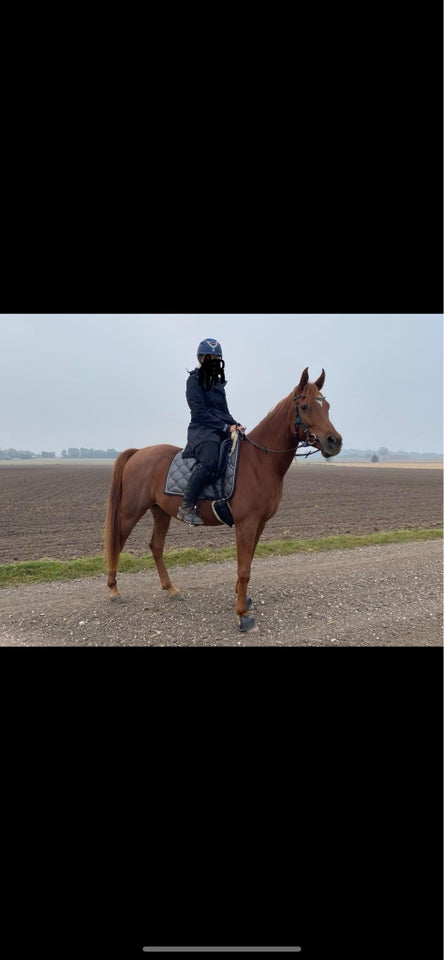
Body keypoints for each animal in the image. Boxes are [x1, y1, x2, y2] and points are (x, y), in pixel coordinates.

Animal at [105, 368, 344, 632]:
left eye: (327, 406)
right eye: (304, 406)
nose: (334, 441)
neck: (260, 461)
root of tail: (139, 452)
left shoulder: (259, 523)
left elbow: (248, 562)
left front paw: (243, 598)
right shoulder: (246, 523)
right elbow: (244, 568)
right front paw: (243, 615)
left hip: (161, 511)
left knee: (156, 546)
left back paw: (171, 589)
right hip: (131, 511)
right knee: (117, 542)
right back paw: (114, 590)